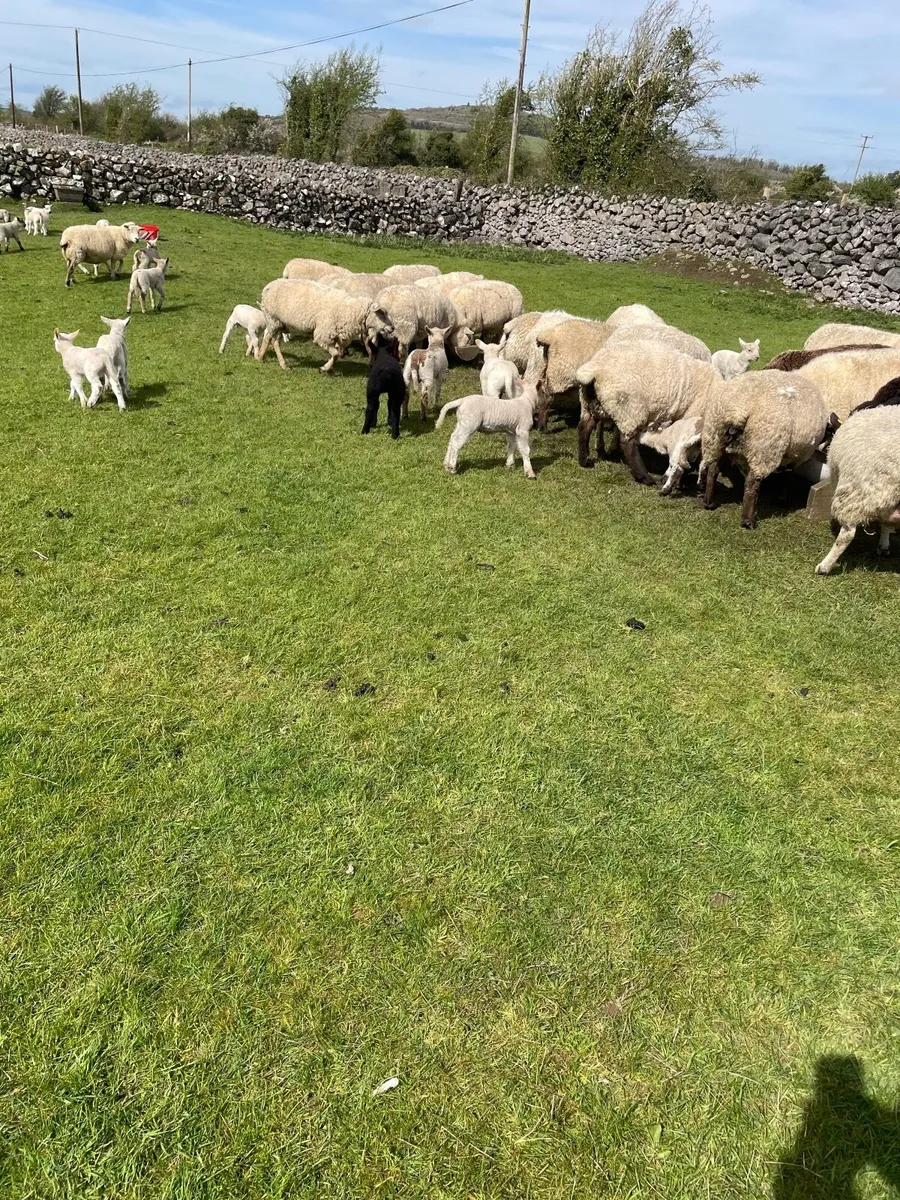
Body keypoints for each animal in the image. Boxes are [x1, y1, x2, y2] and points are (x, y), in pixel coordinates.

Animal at [575, 342, 724, 482]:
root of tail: (594, 370)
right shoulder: (692, 417)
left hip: (591, 403)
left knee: (584, 427)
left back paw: (584, 461)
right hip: (630, 408)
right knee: (627, 443)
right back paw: (644, 477)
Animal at [699, 371, 829, 528]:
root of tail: (737, 410)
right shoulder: (793, 456)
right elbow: (787, 475)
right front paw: (782, 499)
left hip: (714, 440)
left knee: (713, 470)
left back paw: (709, 503)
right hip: (764, 450)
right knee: (752, 483)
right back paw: (748, 521)